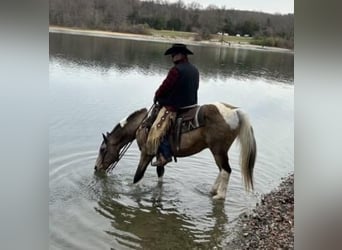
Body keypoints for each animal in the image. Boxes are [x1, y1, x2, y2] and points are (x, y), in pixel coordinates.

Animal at [93, 102, 256, 200]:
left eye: (102, 149)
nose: (96, 167)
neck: (143, 124)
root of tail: (235, 111)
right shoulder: (159, 156)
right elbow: (160, 174)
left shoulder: (146, 153)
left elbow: (137, 176)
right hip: (218, 152)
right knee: (222, 170)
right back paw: (212, 191)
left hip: (218, 151)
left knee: (226, 170)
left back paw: (220, 196)